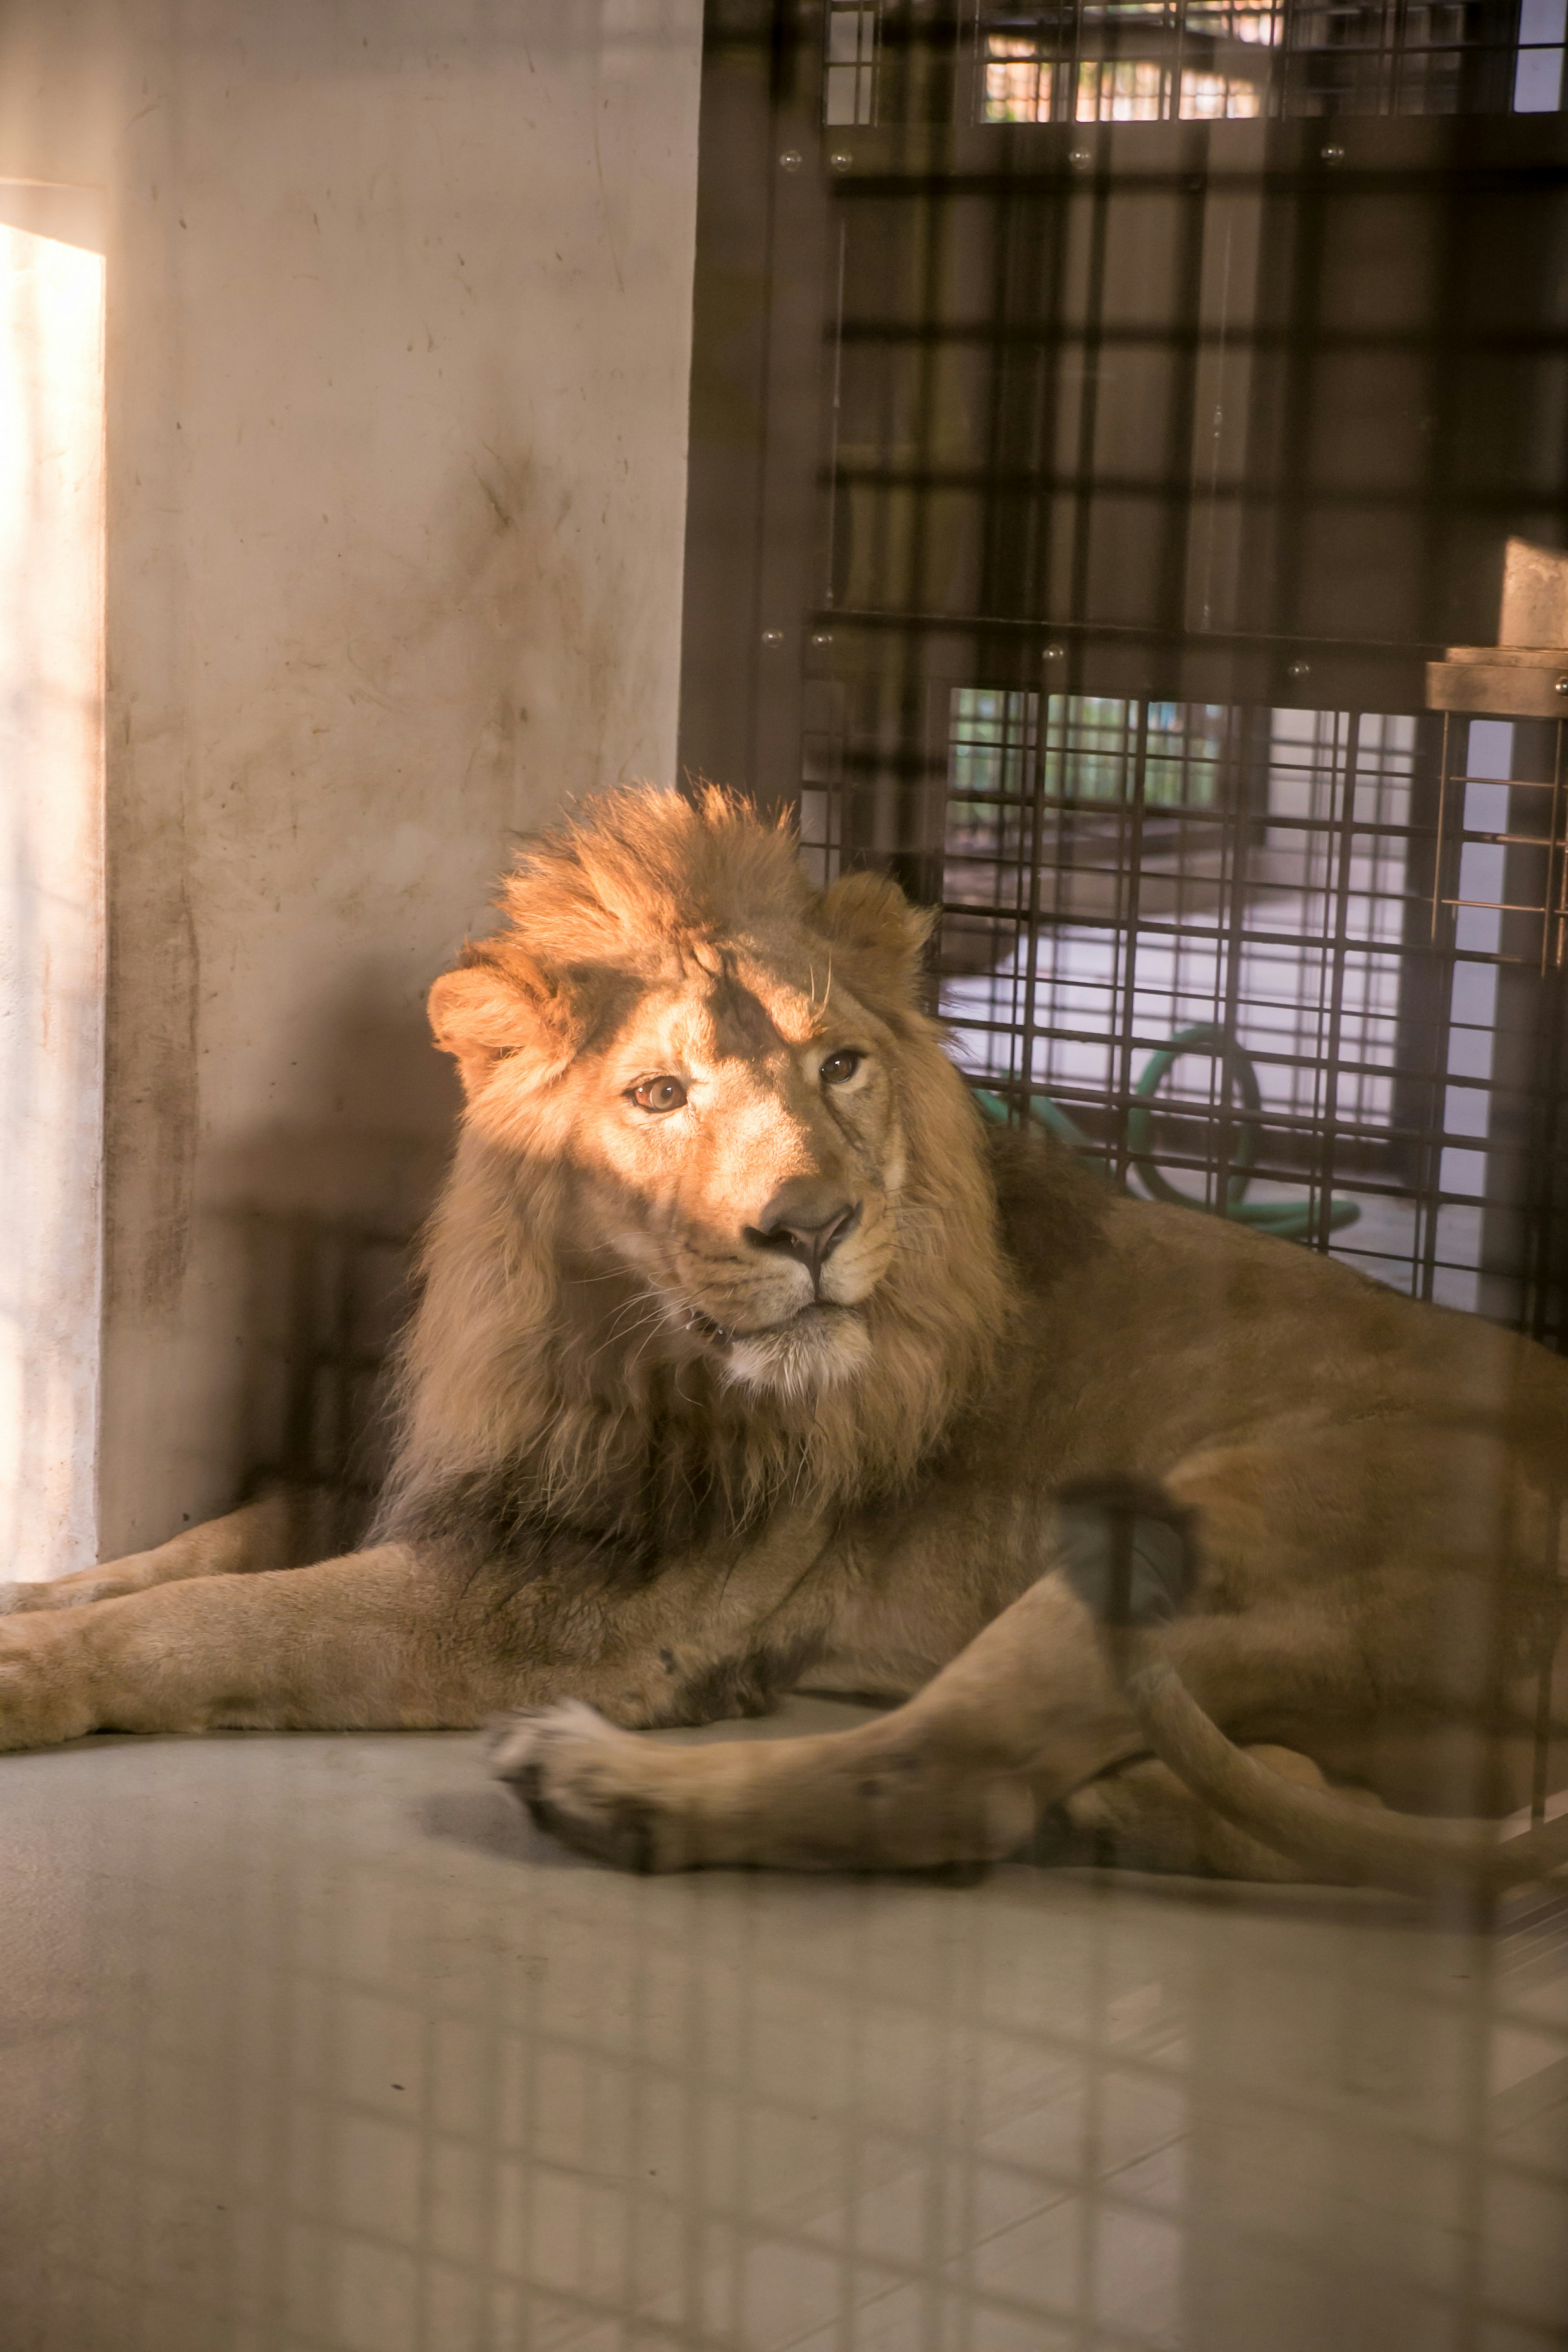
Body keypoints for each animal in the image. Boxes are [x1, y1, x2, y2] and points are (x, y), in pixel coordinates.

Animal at [3, 790, 1568, 1891]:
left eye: (840, 1065)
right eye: (658, 1092)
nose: (813, 1226)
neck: (601, 1340)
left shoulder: (572, 1607)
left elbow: (210, 1619)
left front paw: (31, 1675)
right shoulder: (472, 1489)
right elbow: (179, 1555)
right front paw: (35, 1601)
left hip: (1193, 1535)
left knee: (948, 1775)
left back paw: (608, 1792)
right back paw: (1131, 1800)